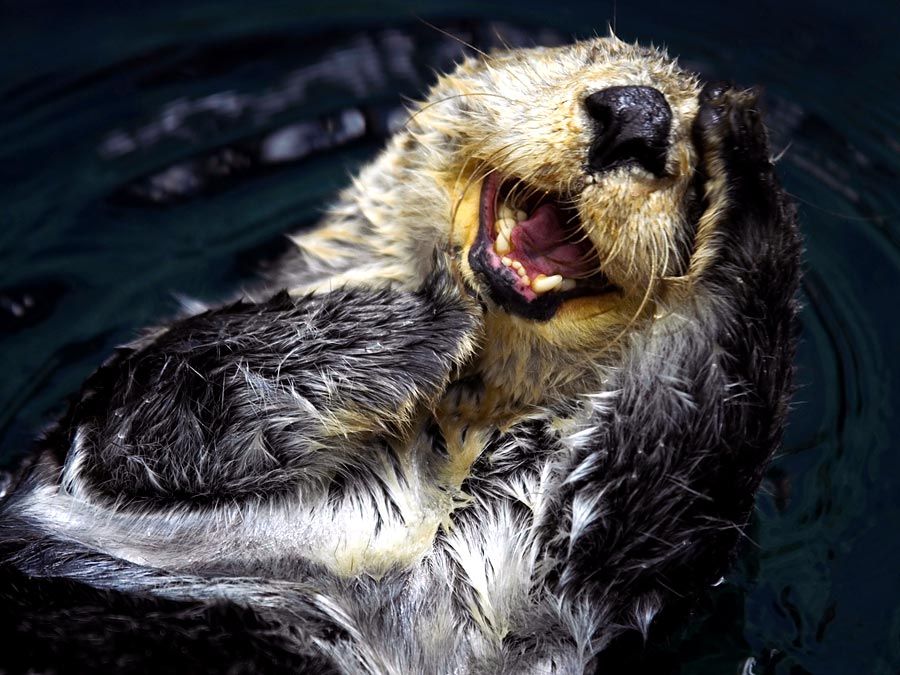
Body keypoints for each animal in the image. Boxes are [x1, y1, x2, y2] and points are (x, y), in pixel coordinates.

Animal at [0, 36, 800, 673]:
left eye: (688, 162)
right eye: (589, 55)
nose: (639, 114)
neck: (448, 431)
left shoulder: (541, 588)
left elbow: (674, 454)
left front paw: (742, 155)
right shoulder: (101, 431)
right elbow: (166, 397)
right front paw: (432, 312)